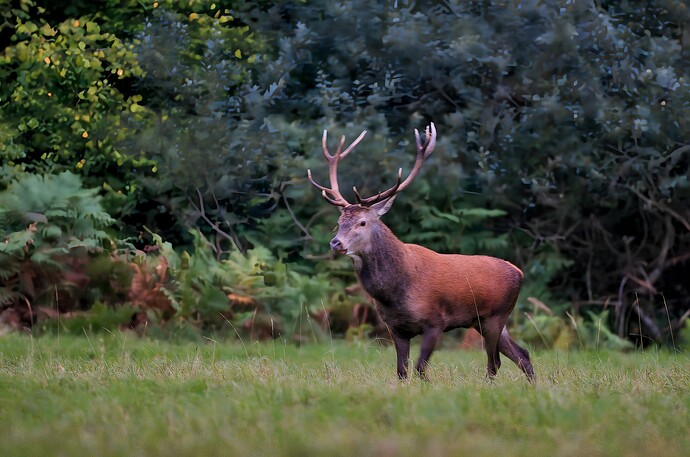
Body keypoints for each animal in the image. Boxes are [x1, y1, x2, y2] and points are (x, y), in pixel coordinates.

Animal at [307, 123, 535, 382]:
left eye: (362, 222)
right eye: (339, 222)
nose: (335, 243)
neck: (395, 293)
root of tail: (519, 273)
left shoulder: (436, 322)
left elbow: (420, 369)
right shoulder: (396, 328)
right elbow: (402, 371)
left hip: (495, 316)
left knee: (494, 362)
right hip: (484, 320)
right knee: (522, 354)